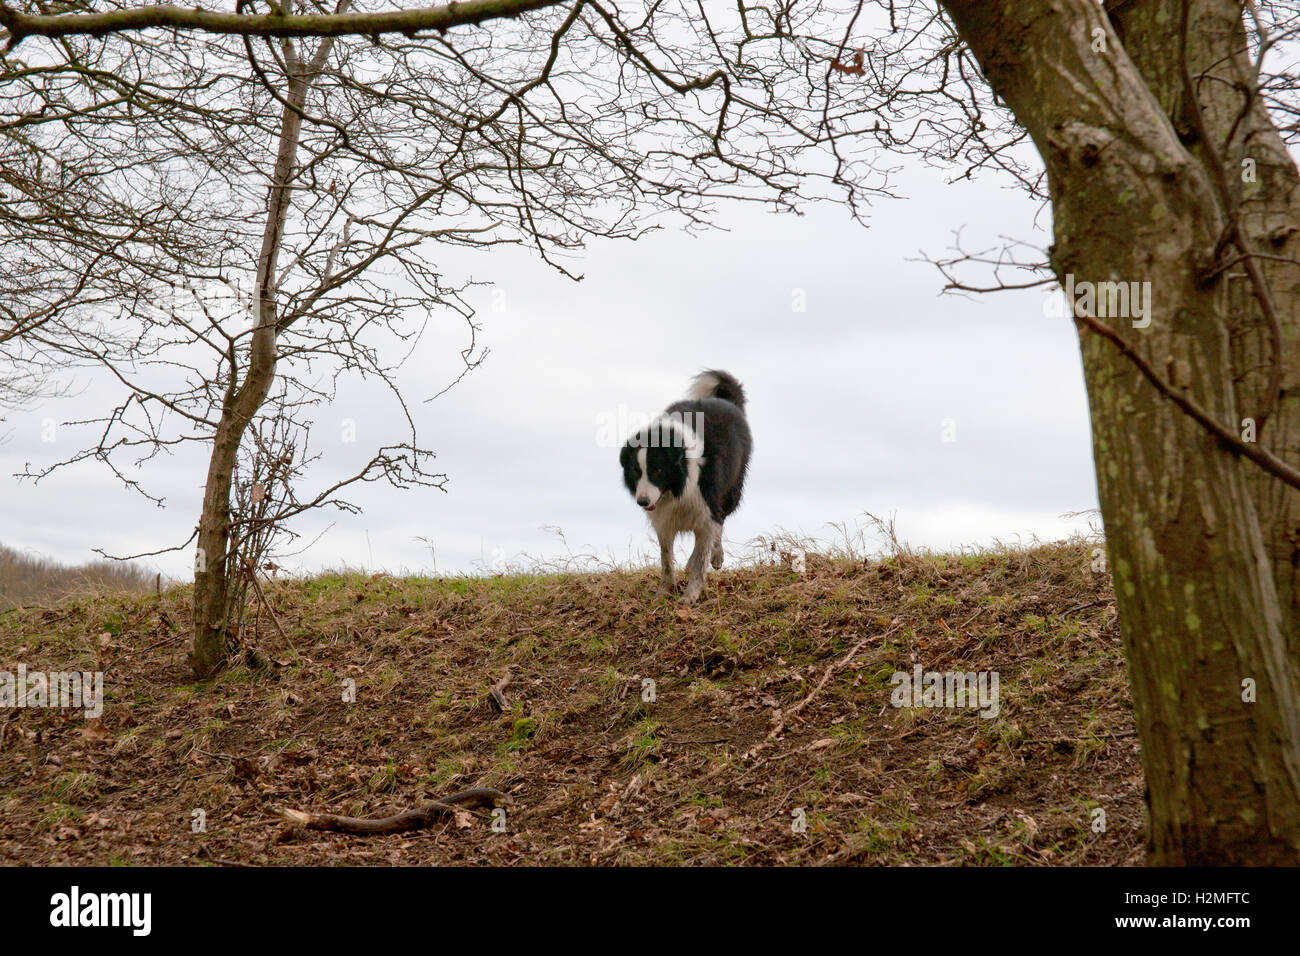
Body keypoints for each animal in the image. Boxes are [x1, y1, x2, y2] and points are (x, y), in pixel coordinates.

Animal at [618, 369, 754, 600]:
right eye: (636, 471)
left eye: (658, 470)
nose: (642, 502)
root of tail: (727, 401)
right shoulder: (663, 517)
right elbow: (666, 557)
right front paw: (663, 592)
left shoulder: (706, 504)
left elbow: (701, 555)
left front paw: (689, 596)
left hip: (731, 488)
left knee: (720, 521)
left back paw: (715, 556)